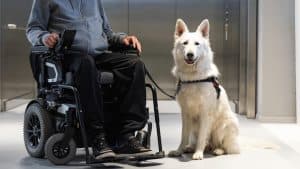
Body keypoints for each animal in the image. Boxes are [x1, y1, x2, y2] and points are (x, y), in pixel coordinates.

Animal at [169, 18, 241, 160]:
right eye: (185, 43)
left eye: (197, 44)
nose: (190, 54)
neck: (193, 78)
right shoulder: (185, 113)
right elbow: (183, 136)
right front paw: (179, 151)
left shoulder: (205, 113)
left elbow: (202, 137)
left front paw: (198, 153)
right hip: (194, 127)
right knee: (201, 142)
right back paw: (190, 148)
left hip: (223, 126)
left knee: (225, 147)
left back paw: (217, 150)